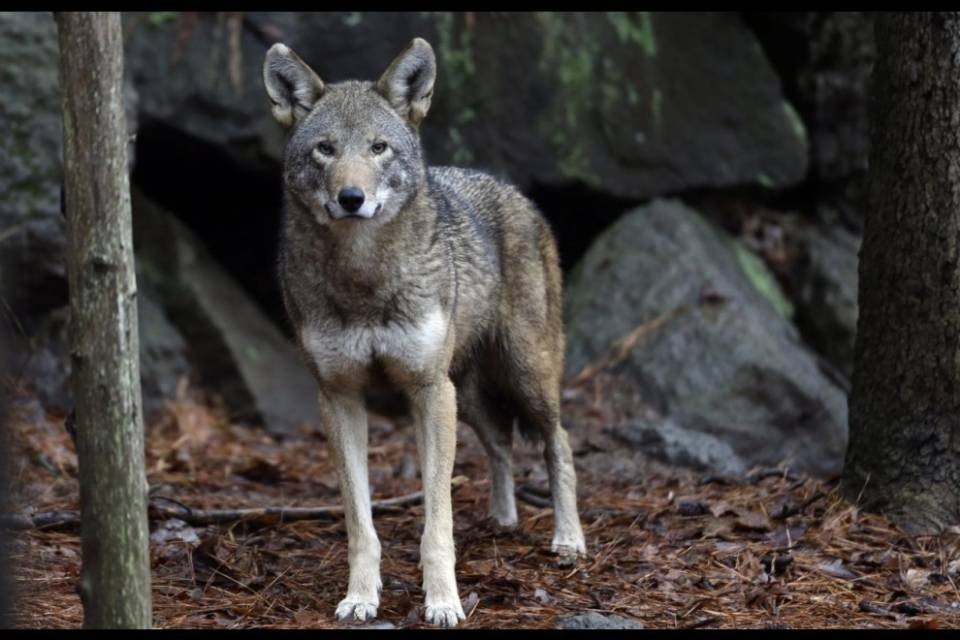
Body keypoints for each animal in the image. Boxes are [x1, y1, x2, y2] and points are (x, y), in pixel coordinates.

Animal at [263, 37, 586, 627]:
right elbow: (360, 523)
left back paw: (569, 540)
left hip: (524, 377)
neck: (364, 279)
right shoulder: (339, 396)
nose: (351, 197)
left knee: (560, 443)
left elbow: (437, 521)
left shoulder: (428, 391)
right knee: (502, 445)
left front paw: (443, 601)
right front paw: (361, 597)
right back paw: (502, 521)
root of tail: (515, 193)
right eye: (325, 149)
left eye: (379, 148)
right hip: (469, 396)